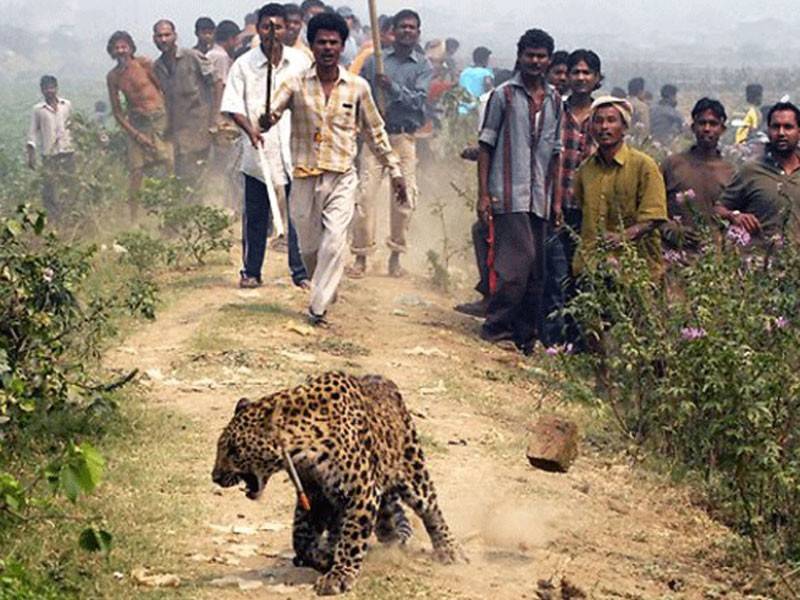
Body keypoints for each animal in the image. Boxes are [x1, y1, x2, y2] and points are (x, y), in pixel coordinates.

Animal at [209, 370, 466, 596]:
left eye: (234, 450)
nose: (215, 477)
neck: (302, 447)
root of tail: (387, 383)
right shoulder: (314, 495)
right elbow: (301, 538)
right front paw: (325, 559)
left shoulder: (362, 491)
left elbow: (352, 536)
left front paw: (339, 575)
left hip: (413, 470)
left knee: (431, 510)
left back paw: (450, 550)